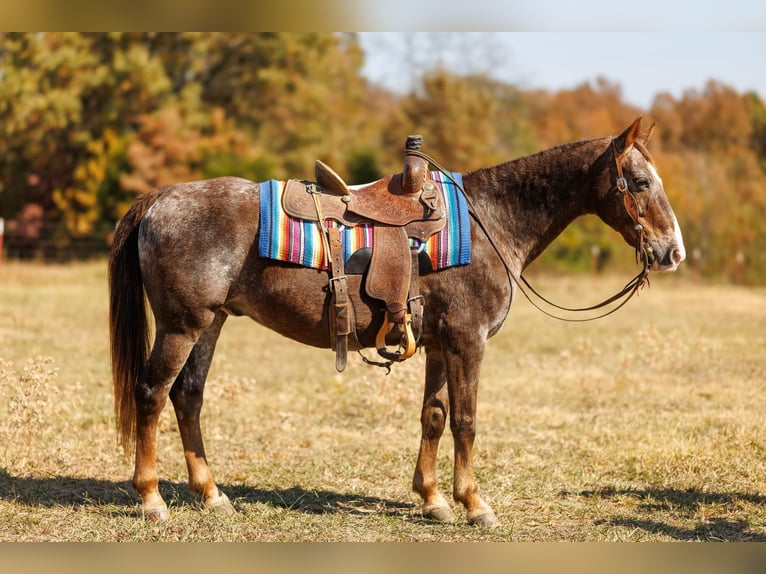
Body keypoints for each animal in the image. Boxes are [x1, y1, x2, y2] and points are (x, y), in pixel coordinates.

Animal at [108, 117, 685, 525]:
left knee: (189, 396)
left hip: (210, 323)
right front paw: (474, 504)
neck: (490, 223)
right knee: (152, 394)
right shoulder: (468, 341)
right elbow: (466, 420)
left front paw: (432, 499)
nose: (672, 251)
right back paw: (152, 499)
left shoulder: (439, 344)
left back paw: (211, 494)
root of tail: (160, 198)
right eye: (639, 181)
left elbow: (433, 416)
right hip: (181, 326)